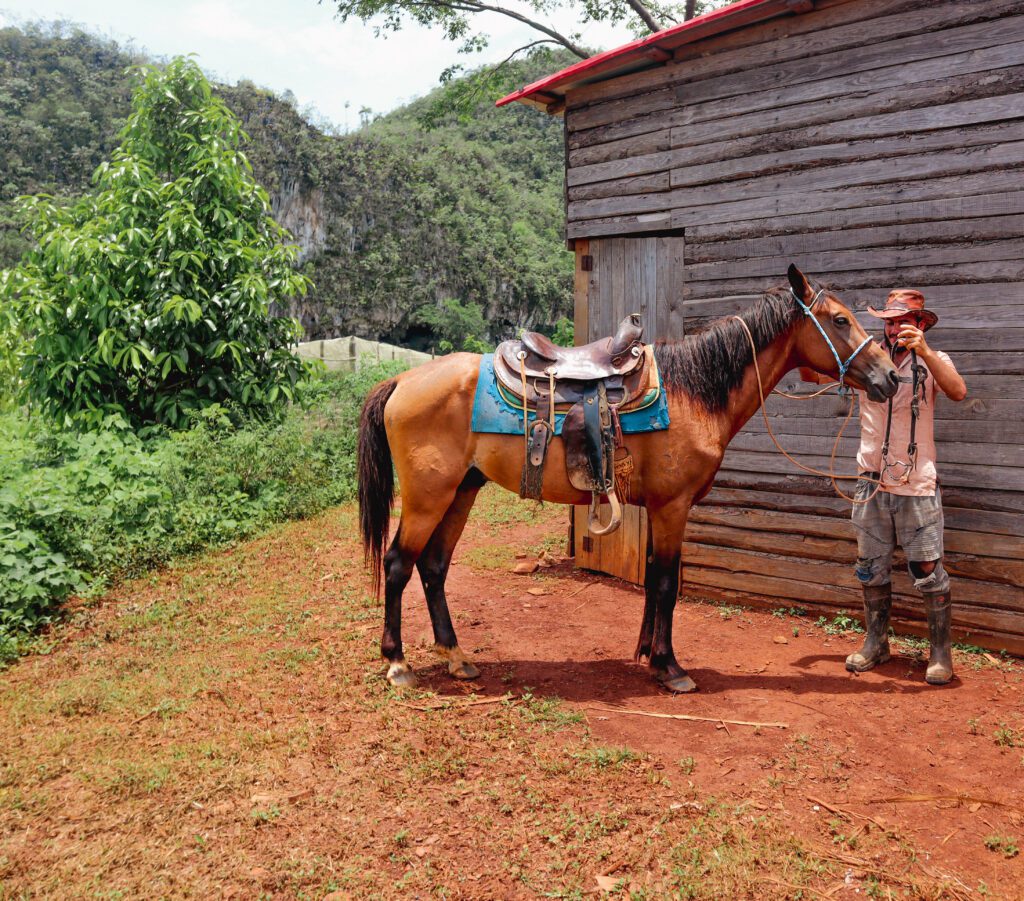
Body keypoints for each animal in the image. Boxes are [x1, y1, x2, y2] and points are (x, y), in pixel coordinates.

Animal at [358, 264, 897, 692]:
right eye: (841, 320)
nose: (890, 376)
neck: (692, 393)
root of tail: (402, 380)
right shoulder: (673, 507)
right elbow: (666, 581)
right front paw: (670, 667)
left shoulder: (662, 508)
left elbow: (656, 577)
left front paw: (648, 655)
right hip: (429, 497)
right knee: (398, 564)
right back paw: (398, 663)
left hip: (461, 492)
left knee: (434, 567)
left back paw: (456, 657)